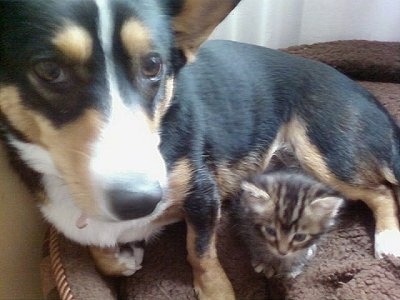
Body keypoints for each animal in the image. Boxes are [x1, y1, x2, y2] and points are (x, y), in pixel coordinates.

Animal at [0, 0, 400, 300]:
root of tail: (362, 92)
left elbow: (200, 250)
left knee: (380, 191)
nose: (140, 201)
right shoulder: (77, 223)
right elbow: (102, 252)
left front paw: (215, 291)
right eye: (49, 70)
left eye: (153, 65)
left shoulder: (203, 196)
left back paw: (389, 241)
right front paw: (124, 258)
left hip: (324, 151)